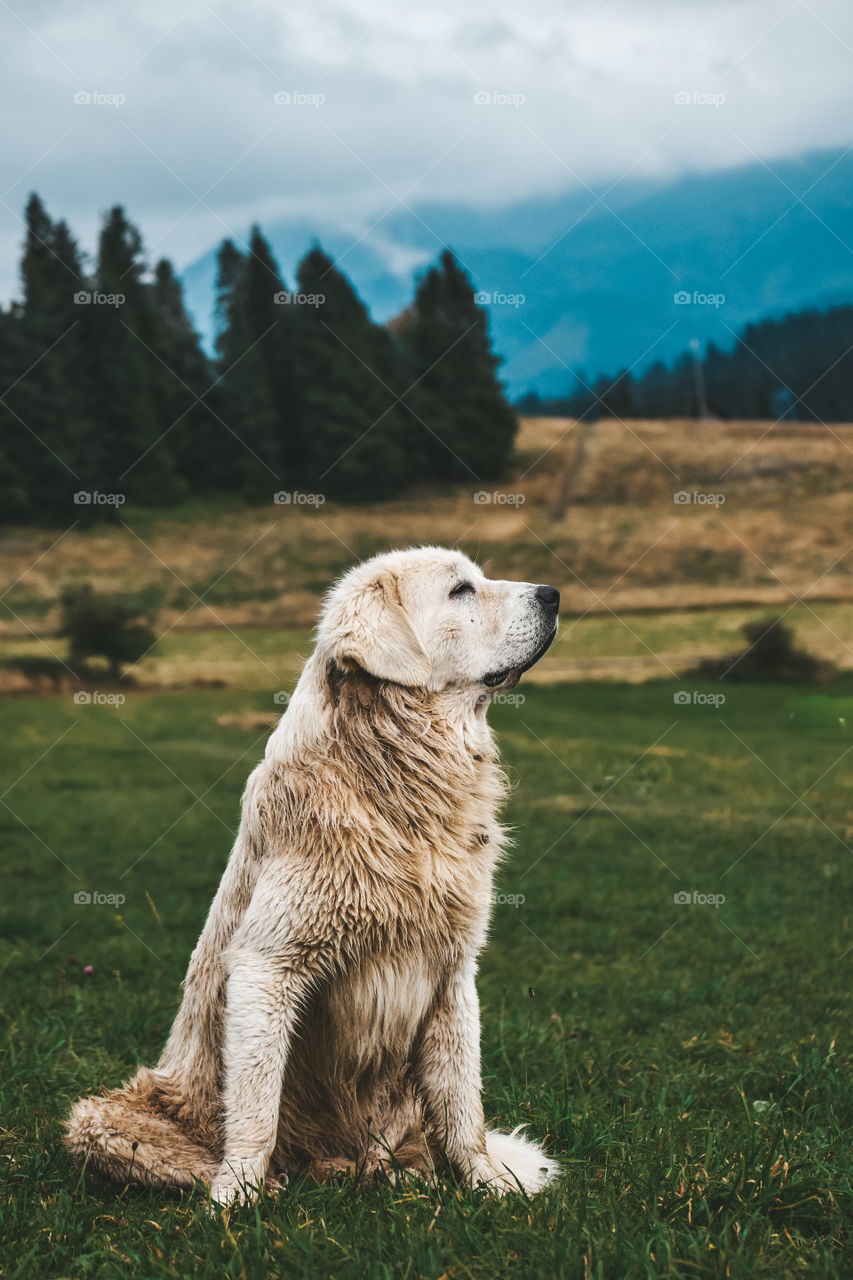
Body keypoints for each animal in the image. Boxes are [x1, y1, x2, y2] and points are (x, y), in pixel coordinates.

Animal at [66, 547, 558, 1198]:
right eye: (460, 590)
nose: (554, 594)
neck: (397, 782)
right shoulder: (267, 965)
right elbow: (255, 1106)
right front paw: (236, 1196)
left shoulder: (453, 972)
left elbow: (462, 1103)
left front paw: (487, 1183)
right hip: (102, 1121)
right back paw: (273, 1183)